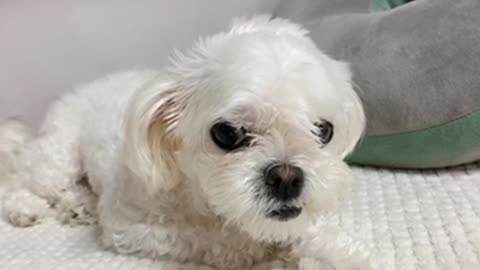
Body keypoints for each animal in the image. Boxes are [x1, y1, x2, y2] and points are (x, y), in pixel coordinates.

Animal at [0, 15, 370, 268]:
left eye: (324, 130)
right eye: (226, 133)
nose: (286, 177)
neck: (201, 198)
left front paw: (342, 254)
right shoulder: (129, 227)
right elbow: (213, 241)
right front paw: (261, 251)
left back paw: (77, 205)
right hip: (56, 158)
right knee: (19, 181)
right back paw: (27, 209)